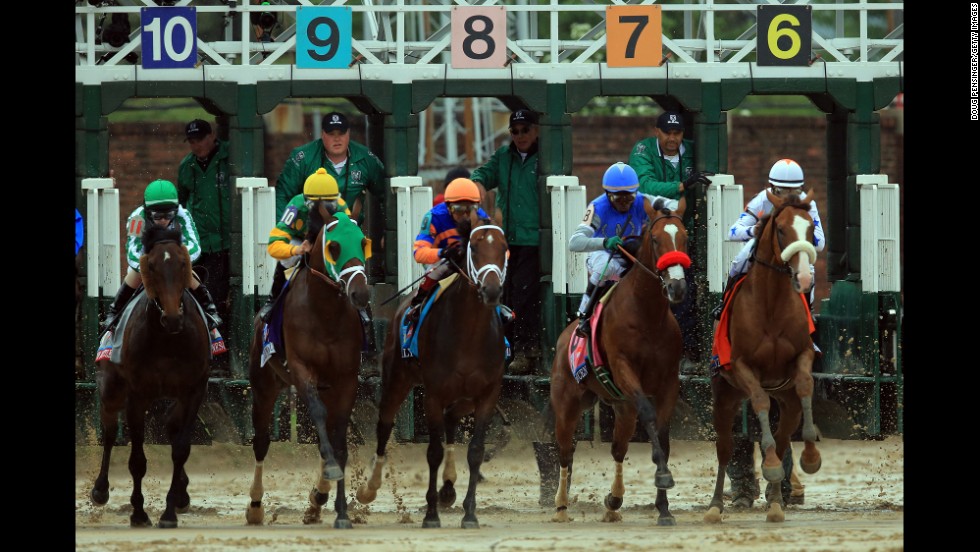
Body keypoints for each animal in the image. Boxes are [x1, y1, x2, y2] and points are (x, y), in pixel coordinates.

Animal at [89, 225, 211, 532]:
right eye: (152, 266)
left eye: (182, 264)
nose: (172, 318)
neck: (167, 340)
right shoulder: (137, 394)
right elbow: (137, 460)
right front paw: (139, 513)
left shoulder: (194, 390)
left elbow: (180, 448)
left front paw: (169, 513)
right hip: (111, 389)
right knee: (110, 432)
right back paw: (100, 489)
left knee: (171, 424)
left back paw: (181, 494)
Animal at [245, 212, 372, 532]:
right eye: (334, 247)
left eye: (363, 243)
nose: (360, 293)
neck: (325, 314)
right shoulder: (302, 372)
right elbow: (317, 416)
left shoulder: (345, 380)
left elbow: (338, 442)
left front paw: (341, 512)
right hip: (263, 387)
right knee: (261, 443)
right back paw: (255, 506)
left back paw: (317, 499)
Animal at [360, 217, 512, 532]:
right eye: (474, 248)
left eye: (504, 248)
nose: (491, 290)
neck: (469, 335)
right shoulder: (433, 393)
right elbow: (433, 452)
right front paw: (431, 514)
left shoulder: (487, 394)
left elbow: (476, 451)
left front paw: (470, 514)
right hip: (397, 379)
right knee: (384, 425)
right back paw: (371, 486)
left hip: (464, 398)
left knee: (452, 419)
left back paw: (449, 486)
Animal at [552, 202, 688, 528]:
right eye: (656, 240)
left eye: (686, 238)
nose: (677, 287)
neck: (647, 315)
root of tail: (563, 339)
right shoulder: (625, 371)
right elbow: (649, 416)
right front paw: (663, 476)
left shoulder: (669, 382)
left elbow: (662, 435)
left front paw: (664, 509)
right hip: (567, 403)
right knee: (565, 452)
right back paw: (561, 506)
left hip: (622, 408)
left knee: (617, 449)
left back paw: (613, 502)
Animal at [704, 192, 828, 524]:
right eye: (782, 230)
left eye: (810, 228)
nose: (803, 276)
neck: (771, 303)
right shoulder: (742, 367)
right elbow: (759, 401)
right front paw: (770, 465)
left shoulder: (803, 355)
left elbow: (806, 385)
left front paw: (811, 457)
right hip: (724, 395)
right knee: (724, 447)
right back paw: (715, 506)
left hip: (788, 402)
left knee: (784, 439)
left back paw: (775, 503)